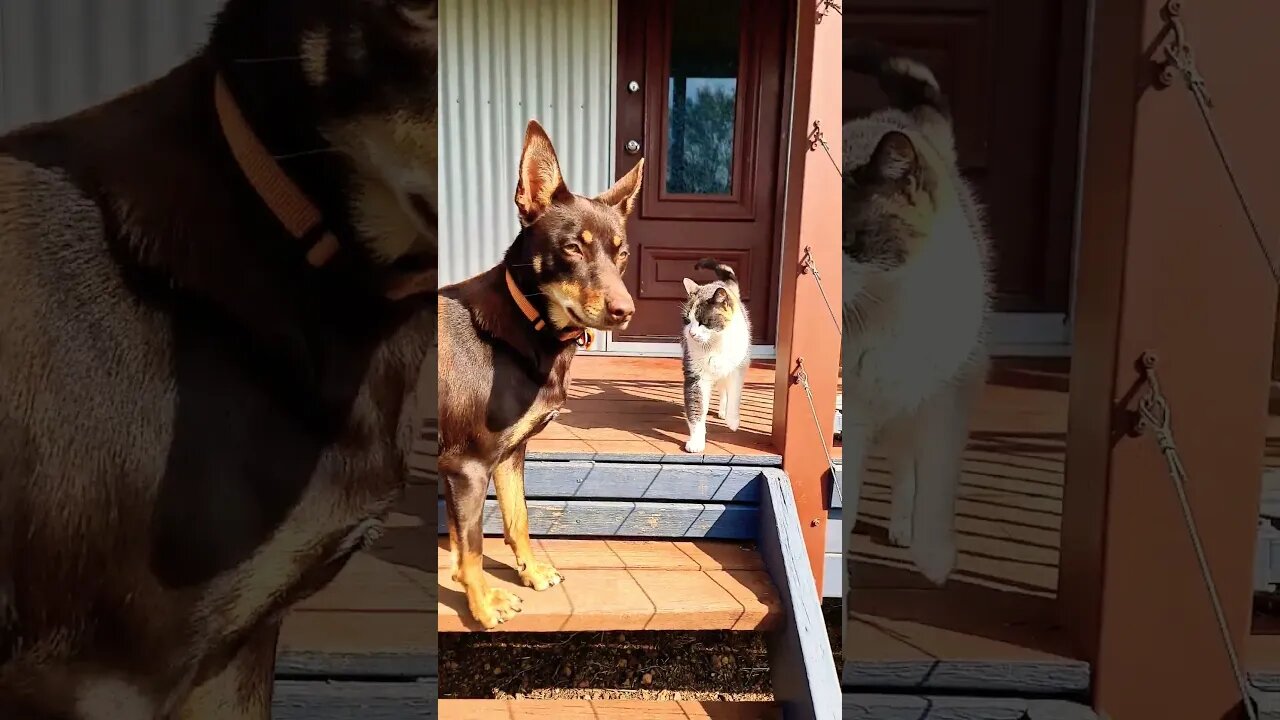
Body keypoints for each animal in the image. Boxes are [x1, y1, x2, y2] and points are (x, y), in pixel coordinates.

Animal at [440, 121, 645, 627]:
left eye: (622, 254)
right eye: (572, 248)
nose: (625, 312)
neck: (526, 324)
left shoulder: (510, 455)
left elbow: (517, 519)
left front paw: (529, 572)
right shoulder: (467, 466)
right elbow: (473, 547)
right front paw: (483, 603)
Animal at [680, 254, 747, 450]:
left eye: (703, 321)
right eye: (687, 320)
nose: (691, 333)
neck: (714, 345)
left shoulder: (738, 370)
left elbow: (734, 395)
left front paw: (733, 421)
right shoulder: (695, 377)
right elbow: (696, 410)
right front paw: (696, 441)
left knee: (725, 389)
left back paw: (724, 412)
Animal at [844, 40, 993, 584]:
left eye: (853, 240)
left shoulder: (950, 395)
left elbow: (936, 482)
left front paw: (933, 558)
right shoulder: (856, 412)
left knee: (909, 465)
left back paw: (904, 529)